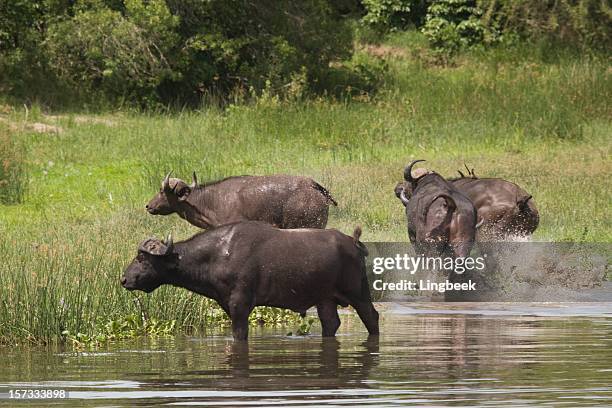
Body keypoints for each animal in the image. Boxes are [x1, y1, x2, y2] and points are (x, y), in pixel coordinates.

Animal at [120, 222, 378, 340]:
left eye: (142, 258)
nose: (124, 279)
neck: (216, 255)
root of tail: (352, 242)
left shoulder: (240, 306)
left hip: (358, 293)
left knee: (371, 317)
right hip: (325, 299)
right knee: (331, 323)